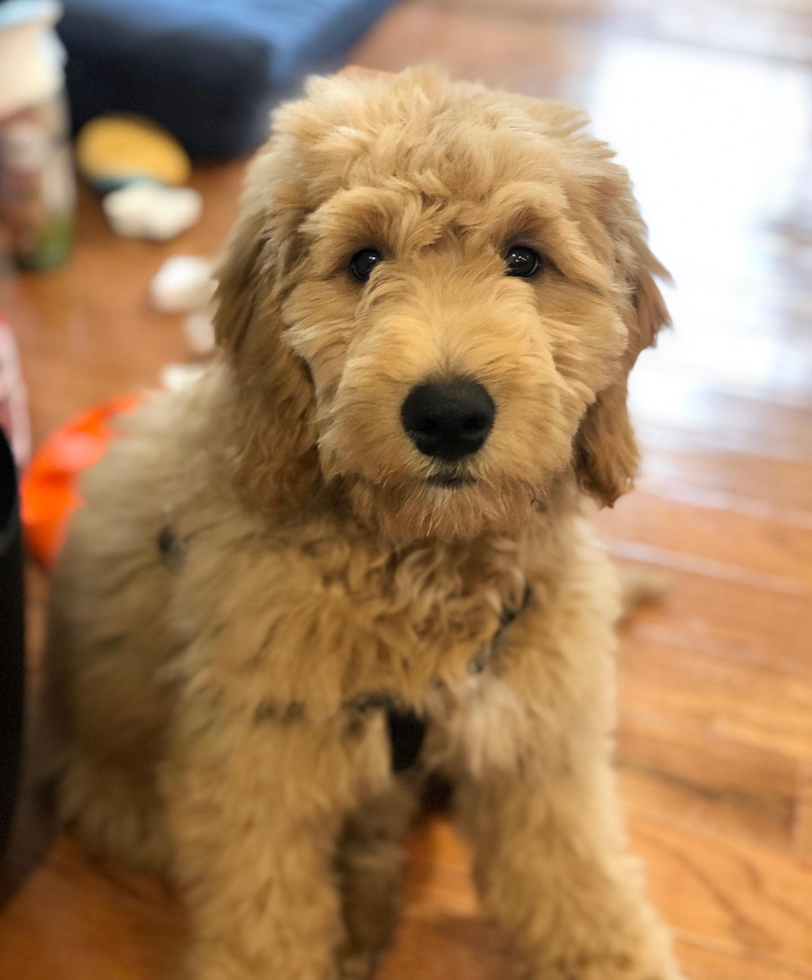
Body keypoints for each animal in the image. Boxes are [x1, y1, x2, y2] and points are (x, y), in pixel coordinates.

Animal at [46, 67, 680, 980]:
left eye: (525, 257)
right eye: (364, 260)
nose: (449, 415)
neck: (418, 568)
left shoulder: (539, 742)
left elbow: (584, 897)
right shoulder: (256, 771)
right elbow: (265, 932)